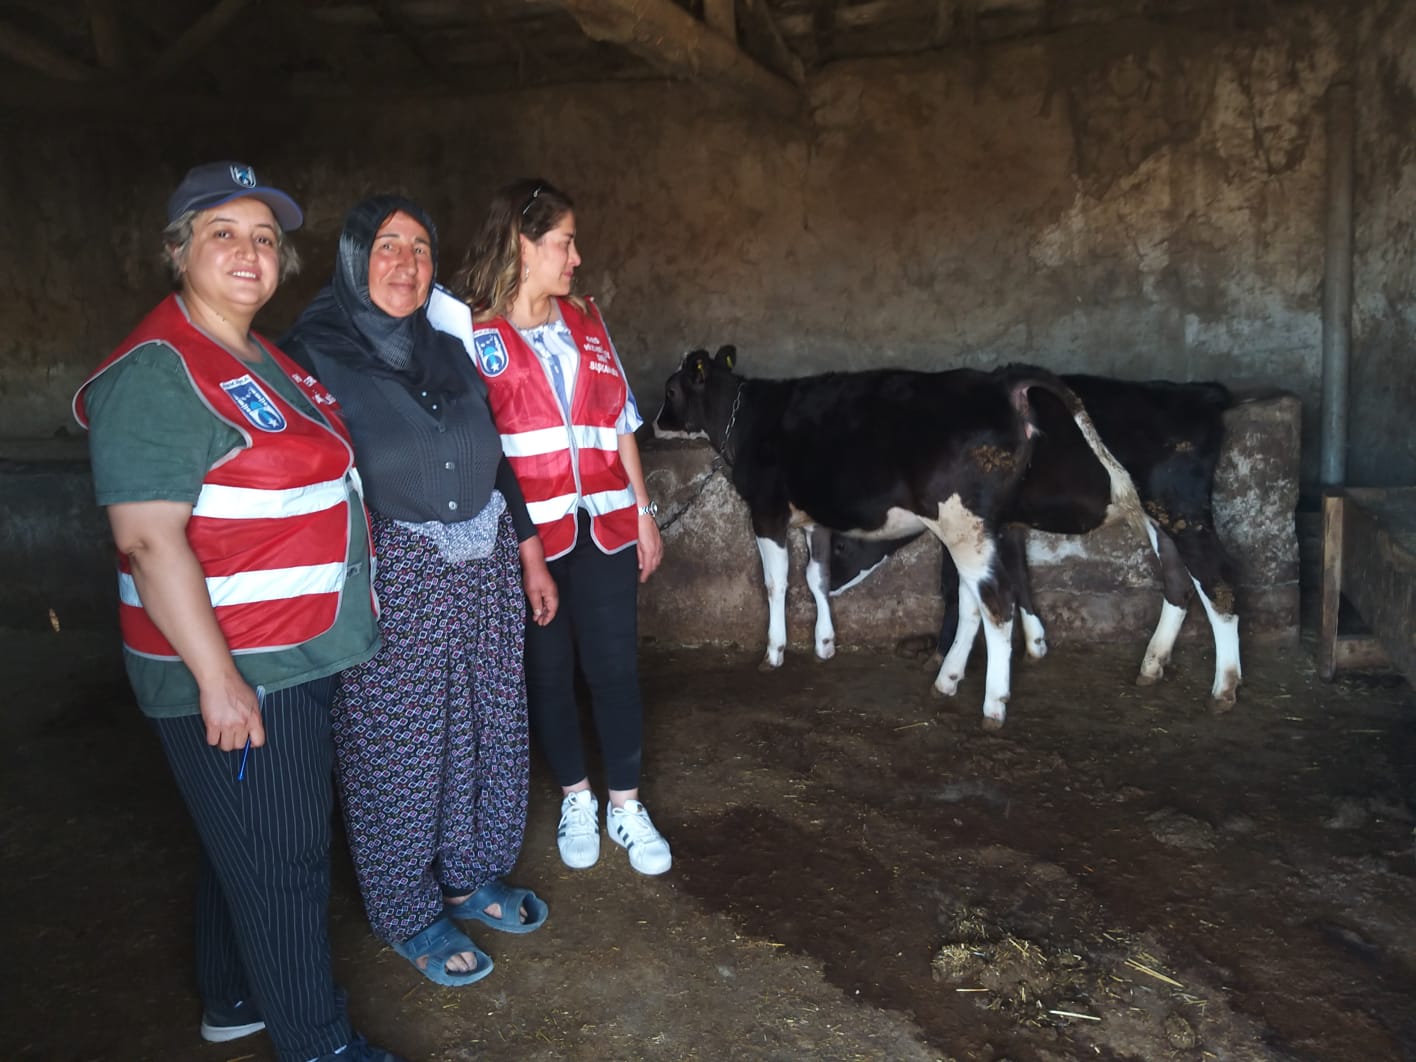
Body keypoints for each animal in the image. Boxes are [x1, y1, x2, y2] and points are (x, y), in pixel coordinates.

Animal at [651, 349, 1149, 730]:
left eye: (671, 390)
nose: (652, 425)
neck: (745, 419)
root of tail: (1000, 380)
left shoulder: (766, 511)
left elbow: (777, 584)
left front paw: (774, 652)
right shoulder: (813, 520)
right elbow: (817, 578)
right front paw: (825, 644)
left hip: (963, 524)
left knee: (996, 602)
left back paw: (993, 705)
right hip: (982, 528)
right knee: (974, 599)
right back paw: (947, 679)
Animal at [826, 373, 1246, 708]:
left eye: (841, 544)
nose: (826, 588)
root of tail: (1199, 391)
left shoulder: (965, 525)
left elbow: (954, 588)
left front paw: (944, 658)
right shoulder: (1007, 524)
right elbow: (1019, 578)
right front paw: (1035, 643)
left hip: (1182, 508)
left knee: (1219, 580)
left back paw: (1224, 687)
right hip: (1160, 516)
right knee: (1179, 582)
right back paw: (1152, 664)